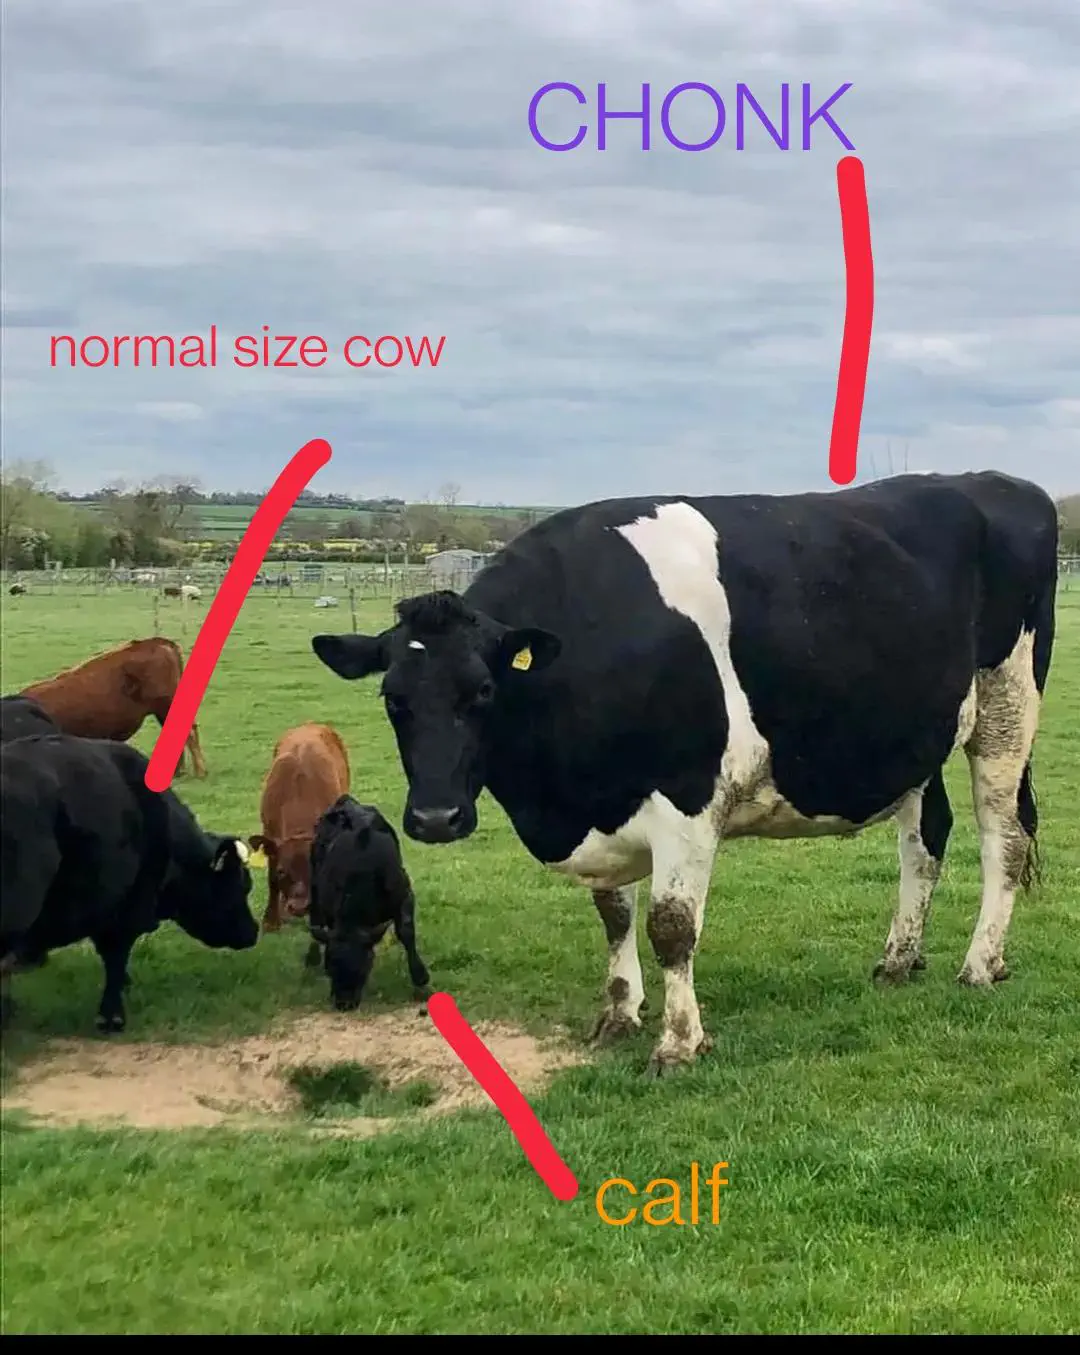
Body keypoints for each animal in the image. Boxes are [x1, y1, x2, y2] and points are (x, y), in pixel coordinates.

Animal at [249, 723, 350, 932]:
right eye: (282, 871)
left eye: (314, 870)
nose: (299, 907)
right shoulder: (269, 834)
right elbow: (271, 879)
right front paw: (271, 920)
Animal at [305, 794, 429, 1010]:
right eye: (330, 966)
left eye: (363, 966)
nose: (344, 1003)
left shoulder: (404, 894)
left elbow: (406, 931)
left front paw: (421, 980)